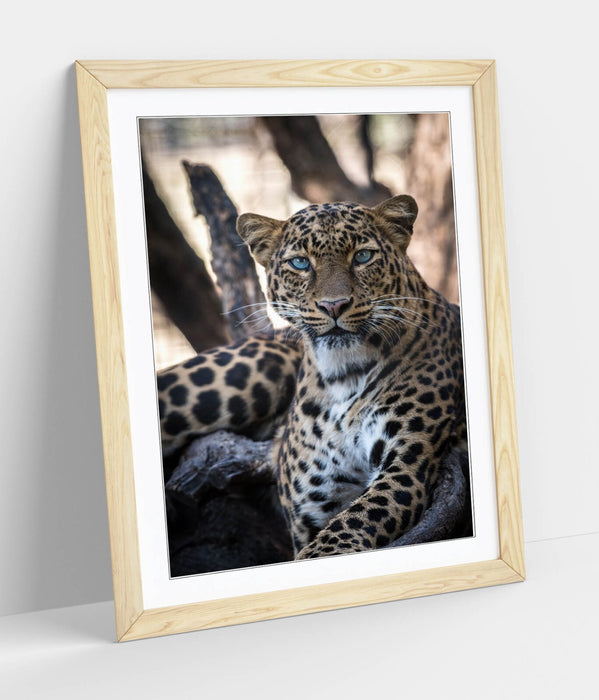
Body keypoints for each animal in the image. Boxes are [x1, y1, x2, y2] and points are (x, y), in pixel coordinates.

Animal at [158, 194, 467, 560]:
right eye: (301, 263)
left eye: (362, 256)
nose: (334, 306)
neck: (343, 376)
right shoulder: (314, 502)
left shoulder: (407, 469)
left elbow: (347, 526)